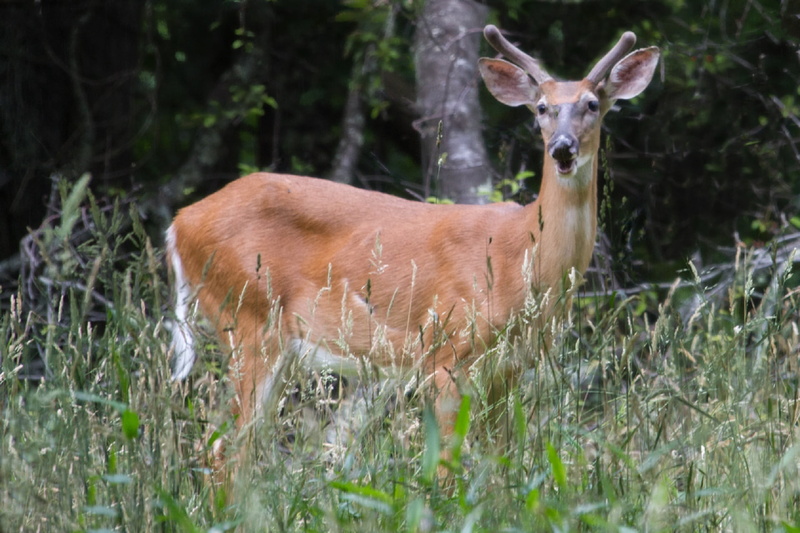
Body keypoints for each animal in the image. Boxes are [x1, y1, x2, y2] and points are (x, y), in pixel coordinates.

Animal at [167, 25, 659, 472]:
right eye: (541, 108)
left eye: (592, 104)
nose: (562, 148)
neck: (520, 255)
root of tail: (179, 223)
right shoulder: (446, 350)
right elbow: (445, 466)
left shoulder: (509, 369)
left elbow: (499, 466)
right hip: (248, 318)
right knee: (221, 447)